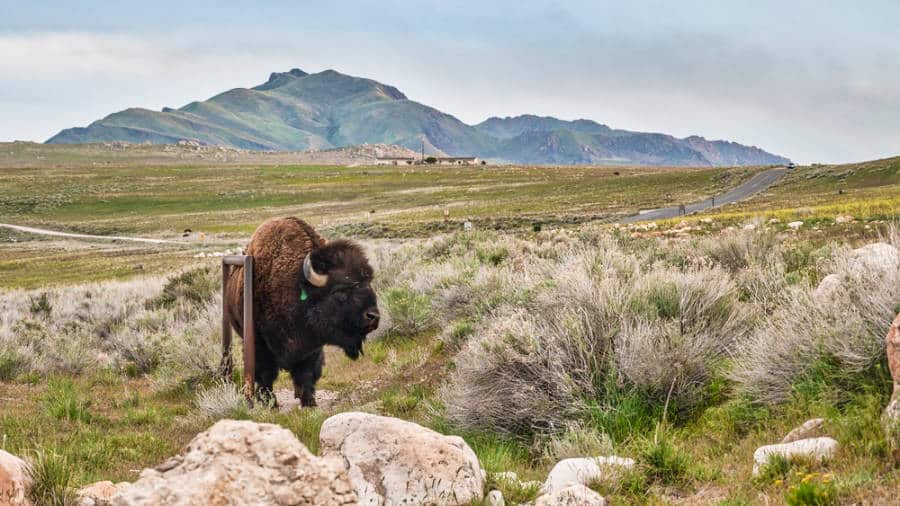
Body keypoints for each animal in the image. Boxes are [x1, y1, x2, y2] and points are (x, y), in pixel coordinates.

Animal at [225, 217, 379, 407]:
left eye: (368, 283)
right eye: (340, 290)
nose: (373, 316)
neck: (298, 286)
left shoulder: (312, 347)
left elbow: (306, 374)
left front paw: (309, 402)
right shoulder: (259, 344)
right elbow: (266, 375)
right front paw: (270, 404)